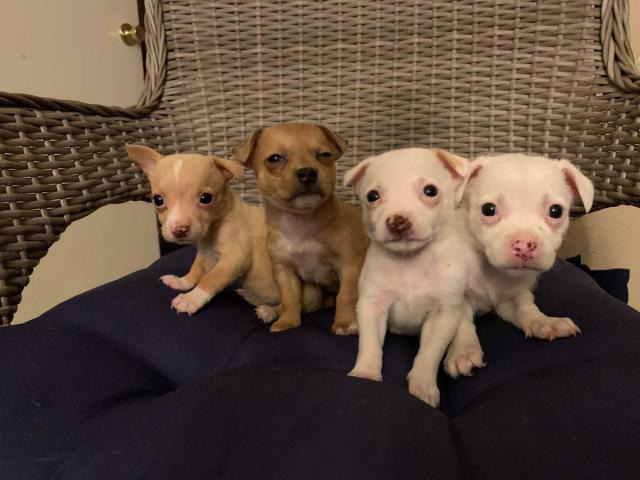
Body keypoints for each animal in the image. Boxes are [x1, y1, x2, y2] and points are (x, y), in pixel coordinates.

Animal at [128, 146, 312, 316]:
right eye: (158, 200)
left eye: (206, 198)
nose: (179, 230)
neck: (213, 229)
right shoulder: (205, 255)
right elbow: (196, 270)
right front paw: (182, 282)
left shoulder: (235, 258)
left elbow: (210, 278)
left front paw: (191, 298)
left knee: (296, 306)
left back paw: (269, 311)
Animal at [232, 124, 368, 334]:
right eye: (275, 158)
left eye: (324, 155)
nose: (307, 173)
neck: (300, 222)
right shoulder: (285, 271)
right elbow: (290, 299)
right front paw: (287, 322)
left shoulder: (349, 266)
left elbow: (346, 295)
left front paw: (345, 323)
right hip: (313, 293)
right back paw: (270, 311)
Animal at [342, 148, 472, 406]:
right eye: (372, 196)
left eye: (430, 191)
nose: (397, 220)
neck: (411, 262)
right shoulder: (373, 305)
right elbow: (370, 344)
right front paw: (365, 373)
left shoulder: (443, 315)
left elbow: (429, 353)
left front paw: (423, 387)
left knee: (464, 321)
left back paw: (462, 352)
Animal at [444, 154, 596, 378]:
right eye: (488, 209)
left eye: (556, 211)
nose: (524, 244)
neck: (491, 270)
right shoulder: (457, 299)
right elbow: (461, 325)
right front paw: (463, 351)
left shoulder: (515, 295)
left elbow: (526, 309)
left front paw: (544, 322)